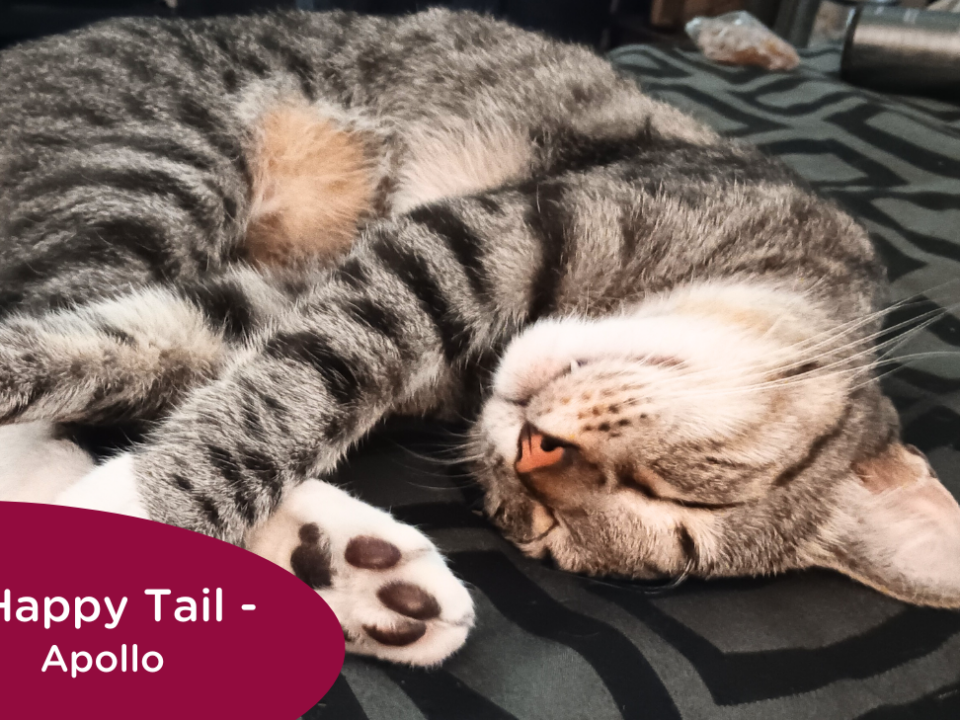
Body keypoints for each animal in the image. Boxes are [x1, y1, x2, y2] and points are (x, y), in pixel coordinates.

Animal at [1, 7, 960, 668]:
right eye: (692, 502)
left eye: (536, 531)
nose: (534, 452)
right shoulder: (474, 240)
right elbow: (284, 395)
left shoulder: (283, 296)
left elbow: (157, 349)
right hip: (153, 166)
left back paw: (348, 570)